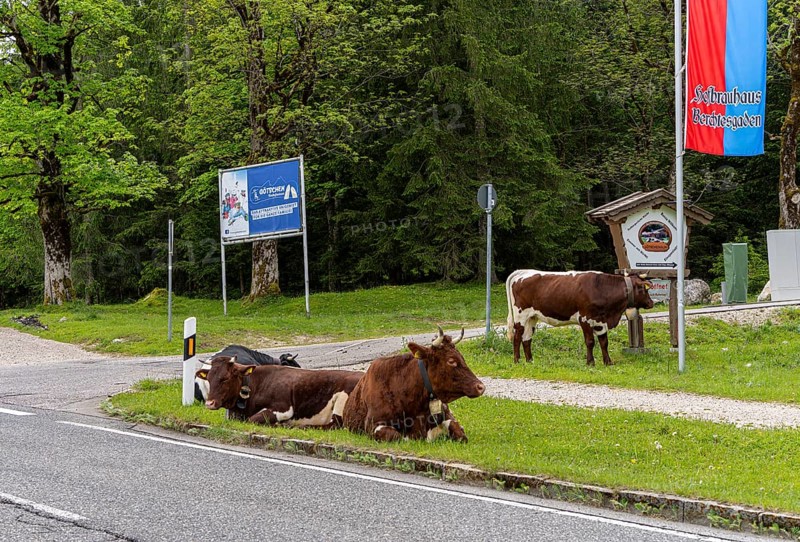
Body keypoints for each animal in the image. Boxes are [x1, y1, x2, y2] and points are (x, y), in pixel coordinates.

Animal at [196, 356, 363, 427]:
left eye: (225, 378)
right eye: (208, 378)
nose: (209, 403)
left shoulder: (284, 409)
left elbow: (253, 419)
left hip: (341, 403)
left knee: (333, 426)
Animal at [342, 327, 485, 442]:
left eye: (462, 357)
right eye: (451, 361)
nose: (480, 387)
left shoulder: (448, 418)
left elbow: (459, 431)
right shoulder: (374, 425)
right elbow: (397, 436)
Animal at [505, 270, 654, 366]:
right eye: (645, 289)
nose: (651, 303)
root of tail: (522, 272)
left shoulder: (601, 321)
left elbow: (604, 342)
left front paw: (608, 362)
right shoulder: (585, 319)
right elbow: (590, 342)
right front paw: (590, 362)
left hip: (532, 317)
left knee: (527, 339)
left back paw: (530, 361)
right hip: (520, 316)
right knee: (517, 337)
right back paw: (517, 360)